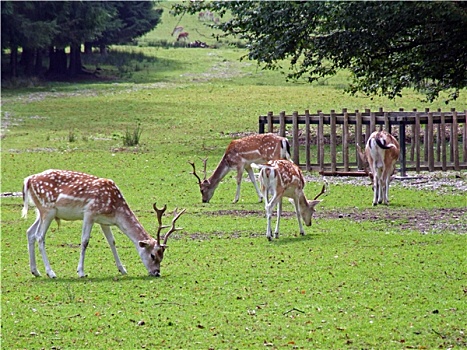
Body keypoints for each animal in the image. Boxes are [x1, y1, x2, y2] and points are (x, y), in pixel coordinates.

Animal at [22, 168, 186, 278]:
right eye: (153, 255)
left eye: (162, 256)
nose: (156, 272)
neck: (115, 209)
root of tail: (28, 180)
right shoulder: (90, 213)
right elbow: (85, 241)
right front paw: (81, 272)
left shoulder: (104, 221)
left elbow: (112, 242)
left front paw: (122, 269)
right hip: (47, 209)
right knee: (39, 236)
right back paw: (51, 272)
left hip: (41, 211)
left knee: (30, 232)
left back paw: (35, 271)